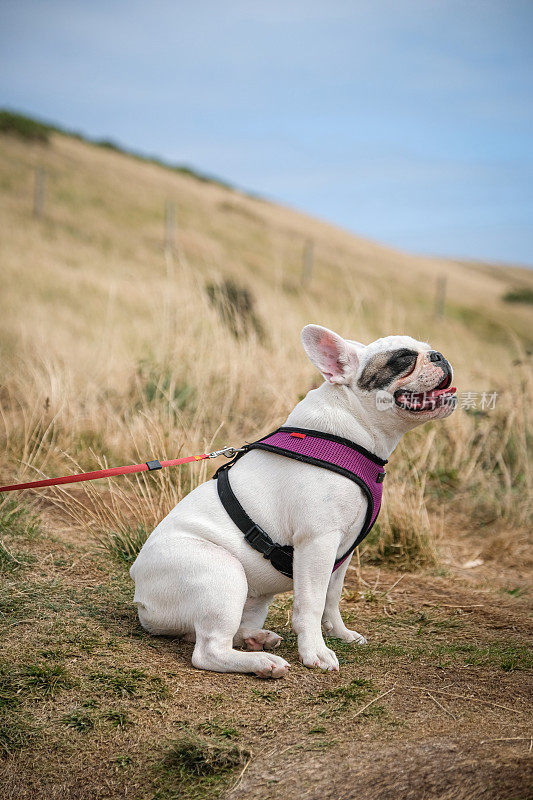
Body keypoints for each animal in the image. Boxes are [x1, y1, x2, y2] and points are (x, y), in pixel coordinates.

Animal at [129, 328, 454, 680]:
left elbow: (332, 597)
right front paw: (316, 652)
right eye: (404, 358)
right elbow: (311, 604)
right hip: (222, 573)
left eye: (428, 349)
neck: (353, 429)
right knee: (208, 650)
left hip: (251, 599)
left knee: (213, 632)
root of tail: (141, 599)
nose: (439, 355)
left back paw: (255, 639)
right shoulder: (318, 542)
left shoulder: (343, 551)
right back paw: (261, 663)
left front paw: (340, 633)